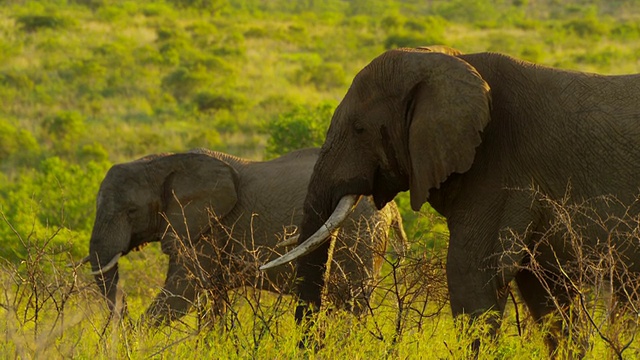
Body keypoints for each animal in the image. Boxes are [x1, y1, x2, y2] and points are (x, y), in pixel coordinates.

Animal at [86, 146, 404, 324]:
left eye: (130, 211)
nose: (123, 319)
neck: (165, 162)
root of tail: (392, 210)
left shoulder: (209, 226)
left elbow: (183, 292)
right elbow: (211, 300)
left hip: (361, 236)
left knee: (354, 304)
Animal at [262, 46, 640, 352]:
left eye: (359, 129)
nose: (316, 345)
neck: (454, 63)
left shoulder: (500, 172)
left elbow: (468, 276)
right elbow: (546, 293)